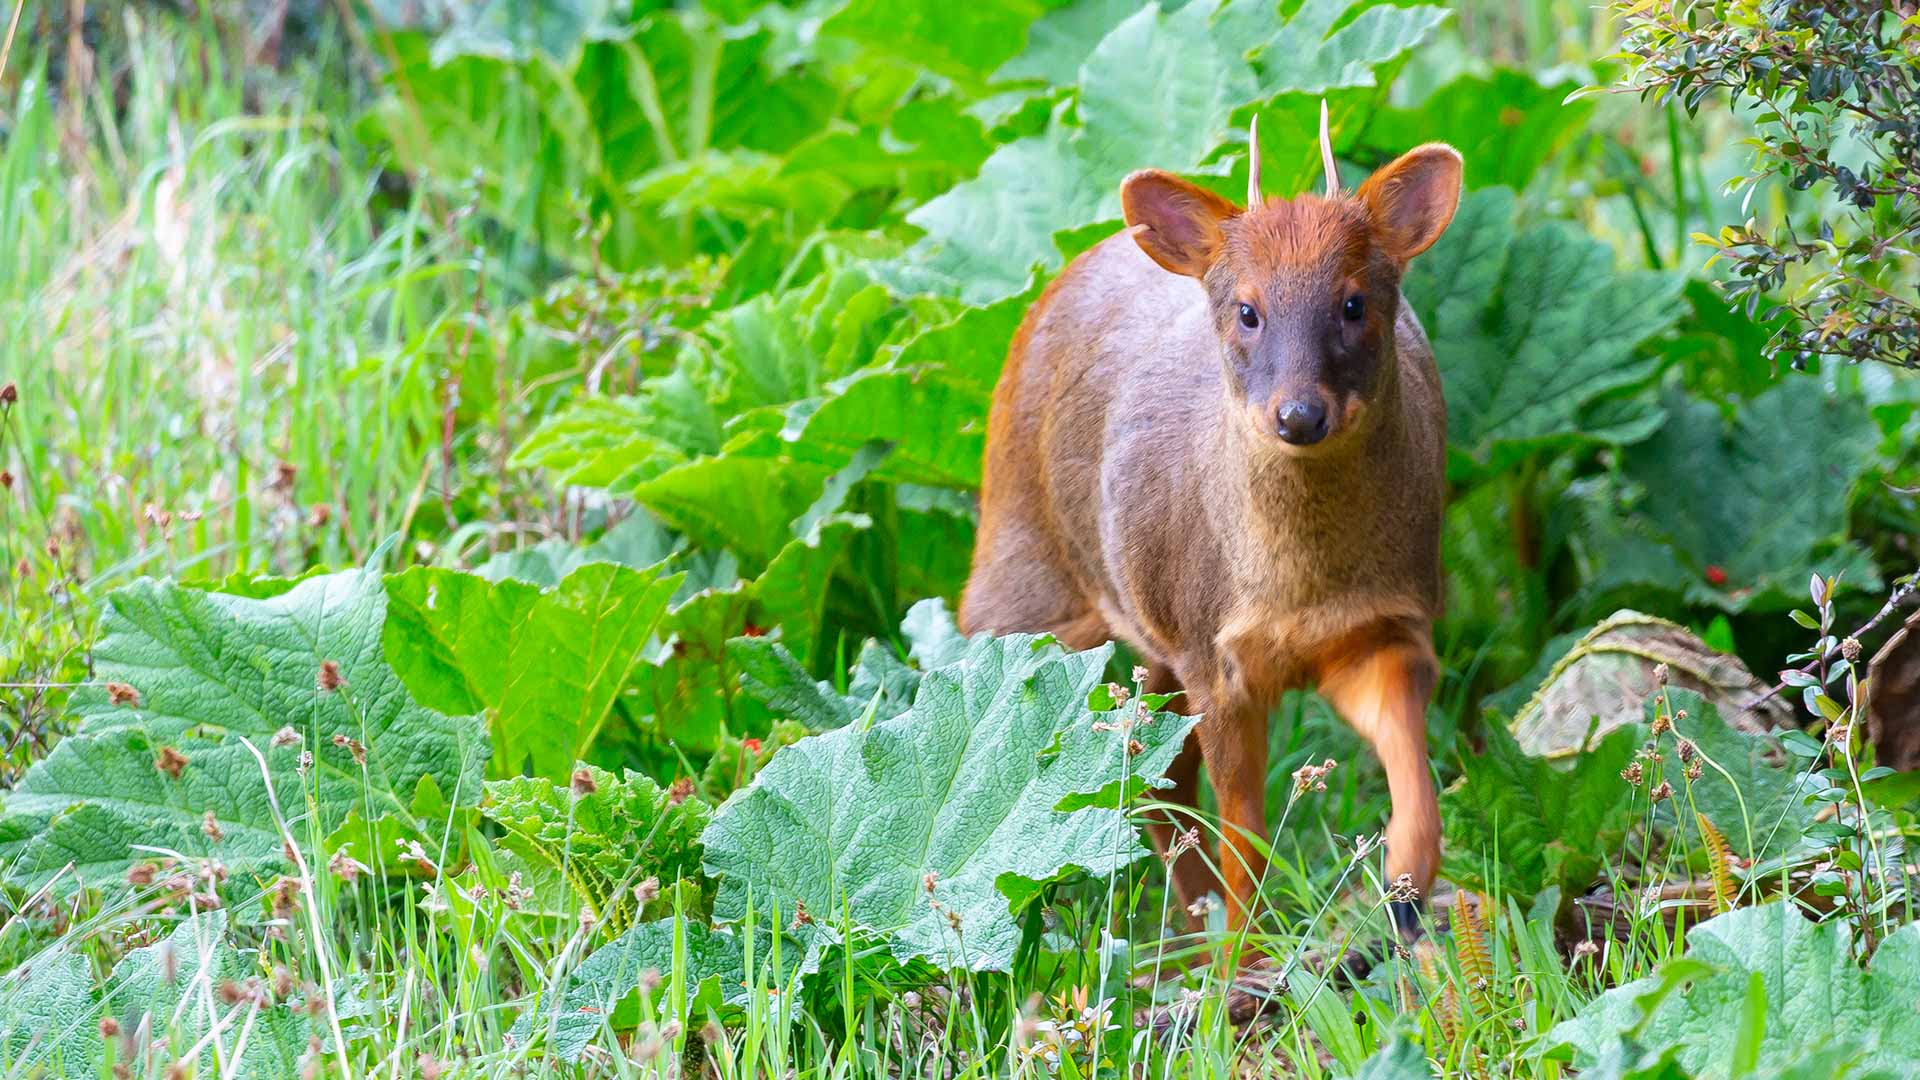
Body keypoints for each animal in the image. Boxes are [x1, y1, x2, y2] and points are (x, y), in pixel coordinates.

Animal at [960, 111, 1451, 933]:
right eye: (1247, 311)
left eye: (1354, 303)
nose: (1298, 414)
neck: (1298, 586)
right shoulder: (1210, 655)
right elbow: (1242, 840)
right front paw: (1244, 956)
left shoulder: (1381, 626)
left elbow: (1408, 759)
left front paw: (1407, 887)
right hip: (1028, 599)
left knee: (1155, 785)